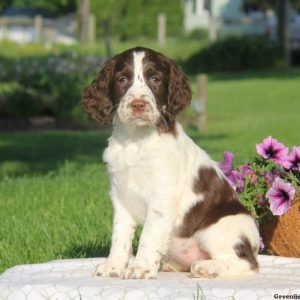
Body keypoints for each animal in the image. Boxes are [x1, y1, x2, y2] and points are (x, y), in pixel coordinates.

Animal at [82, 46, 260, 278]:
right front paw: (113, 265)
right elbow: (120, 235)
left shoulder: (161, 198)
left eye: (155, 79)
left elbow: (148, 236)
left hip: (221, 227)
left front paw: (140, 267)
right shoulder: (120, 197)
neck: (136, 139)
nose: (138, 104)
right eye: (122, 80)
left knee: (247, 263)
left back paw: (207, 267)